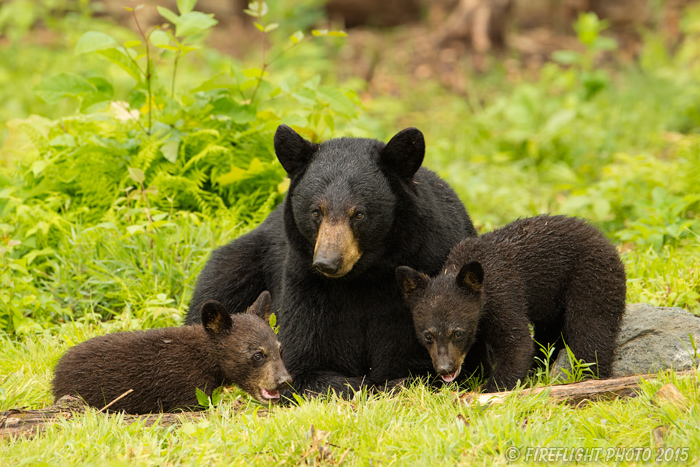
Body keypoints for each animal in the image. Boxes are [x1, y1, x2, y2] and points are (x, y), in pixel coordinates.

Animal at [186, 126, 476, 396]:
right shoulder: (306, 281)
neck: (363, 277)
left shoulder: (425, 272)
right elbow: (303, 362)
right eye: (316, 211)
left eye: (359, 214)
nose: (327, 262)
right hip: (240, 264)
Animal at [396, 218, 628, 394]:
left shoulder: (503, 295)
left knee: (591, 329)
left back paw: (591, 378)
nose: (445, 369)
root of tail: (606, 240)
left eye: (458, 333)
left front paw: (490, 390)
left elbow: (517, 344)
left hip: (593, 278)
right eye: (428, 335)